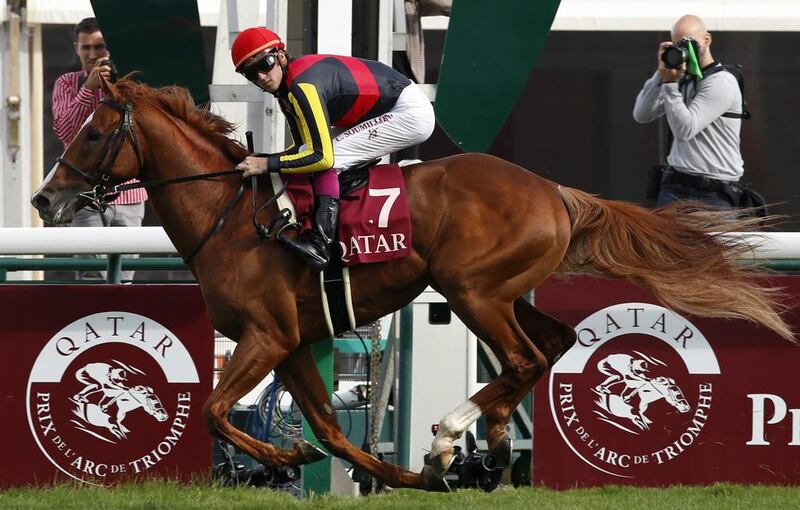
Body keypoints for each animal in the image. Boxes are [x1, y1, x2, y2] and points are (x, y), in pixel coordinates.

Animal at [32, 77, 792, 492]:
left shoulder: (266, 335)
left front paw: (282, 457)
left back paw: (452, 434)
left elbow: (219, 410)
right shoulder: (295, 341)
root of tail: (552, 190)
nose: (43, 199)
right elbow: (331, 432)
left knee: (523, 357)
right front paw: (388, 475)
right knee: (551, 346)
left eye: (94, 132)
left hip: (471, 289)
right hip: (504, 291)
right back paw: (484, 443)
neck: (231, 215)